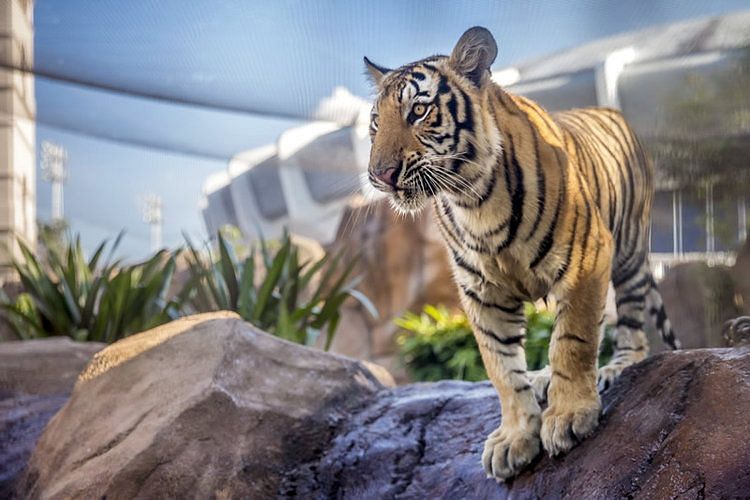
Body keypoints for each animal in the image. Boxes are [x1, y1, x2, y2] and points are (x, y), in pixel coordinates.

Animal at [364, 25, 680, 478]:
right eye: (376, 122)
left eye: (419, 111)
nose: (380, 175)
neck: (473, 201)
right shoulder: (481, 292)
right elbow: (500, 367)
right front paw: (514, 438)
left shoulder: (586, 259)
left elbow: (572, 340)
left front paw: (569, 416)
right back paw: (544, 377)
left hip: (629, 252)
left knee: (632, 327)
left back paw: (616, 366)